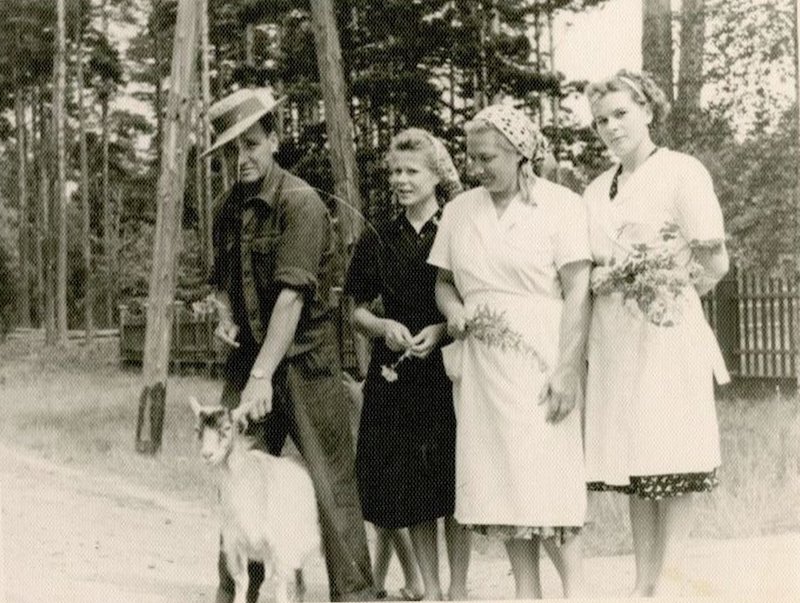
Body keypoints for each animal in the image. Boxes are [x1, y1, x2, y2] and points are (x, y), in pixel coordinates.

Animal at [189, 396, 320, 603]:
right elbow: (242, 580)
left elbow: (279, 582)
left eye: (227, 428)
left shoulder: (278, 544)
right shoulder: (237, 541)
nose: (207, 455)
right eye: (197, 429)